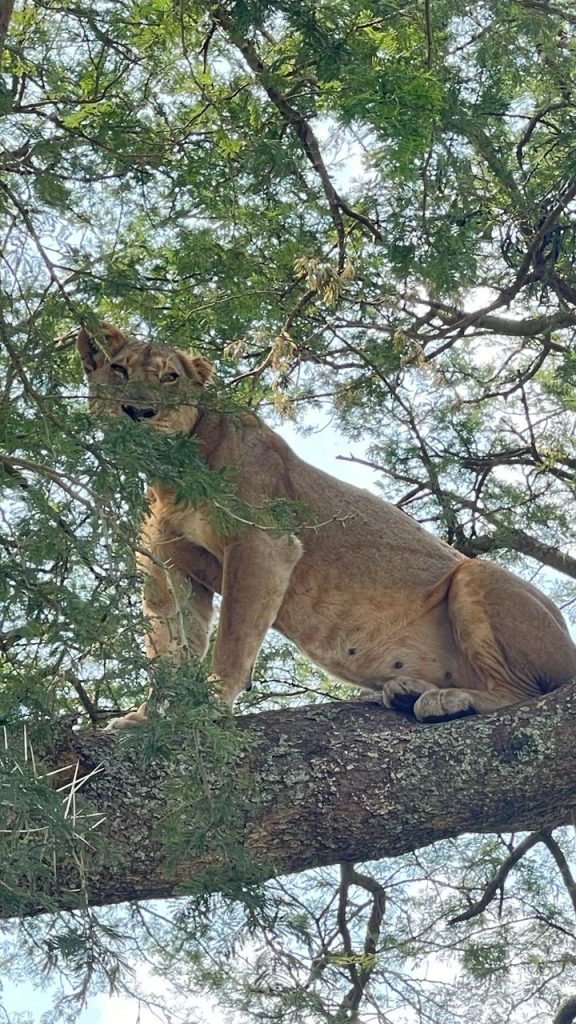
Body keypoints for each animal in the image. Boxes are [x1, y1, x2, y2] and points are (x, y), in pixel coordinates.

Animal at [77, 322, 576, 726]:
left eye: (170, 377)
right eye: (119, 370)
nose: (138, 412)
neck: (171, 475)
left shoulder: (262, 542)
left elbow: (233, 638)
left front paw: (212, 704)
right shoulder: (171, 564)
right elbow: (169, 647)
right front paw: (149, 717)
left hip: (477, 577)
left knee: (519, 693)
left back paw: (448, 699)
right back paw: (406, 691)